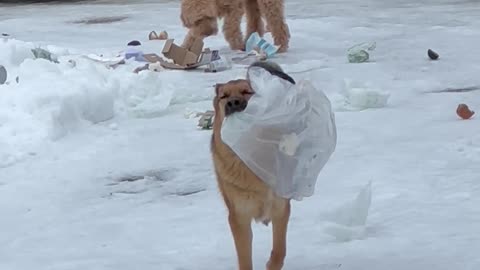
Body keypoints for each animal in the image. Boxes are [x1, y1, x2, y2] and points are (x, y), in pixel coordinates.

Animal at [211, 61, 294, 270]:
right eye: (224, 96)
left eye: (247, 91)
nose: (232, 103)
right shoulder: (239, 216)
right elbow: (244, 257)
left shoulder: (280, 208)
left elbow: (279, 249)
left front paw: (272, 263)